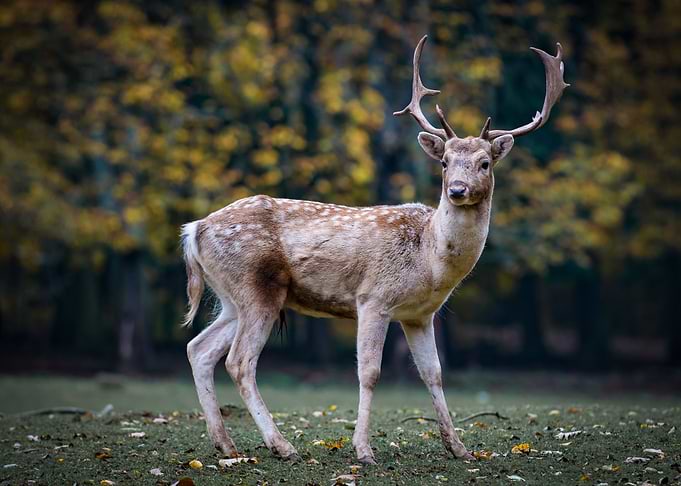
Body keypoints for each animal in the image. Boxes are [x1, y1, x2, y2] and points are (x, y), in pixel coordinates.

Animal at [181, 35, 568, 464]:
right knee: (239, 361)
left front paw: (459, 448)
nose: (456, 190)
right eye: (445, 162)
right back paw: (282, 445)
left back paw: (225, 444)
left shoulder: (419, 315)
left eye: (485, 163)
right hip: (256, 287)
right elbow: (369, 372)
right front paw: (363, 449)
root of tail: (194, 229)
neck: (429, 260)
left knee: (199, 348)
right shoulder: (373, 298)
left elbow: (433, 373)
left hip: (231, 296)